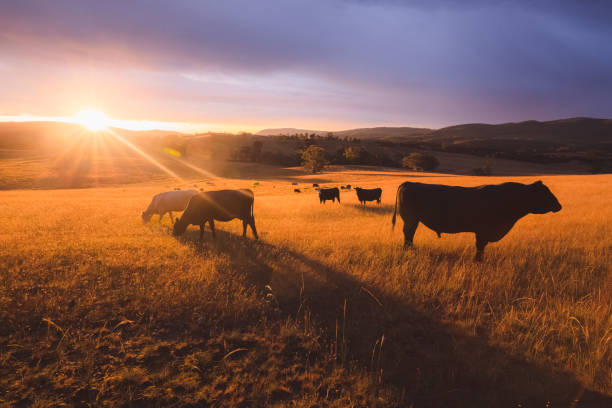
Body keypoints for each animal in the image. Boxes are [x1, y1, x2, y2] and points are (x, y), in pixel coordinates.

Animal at [394, 182, 560, 262]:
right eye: (544, 193)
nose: (559, 205)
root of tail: (409, 183)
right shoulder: (482, 231)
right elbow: (480, 247)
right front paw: (478, 260)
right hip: (410, 220)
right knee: (408, 235)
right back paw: (408, 250)